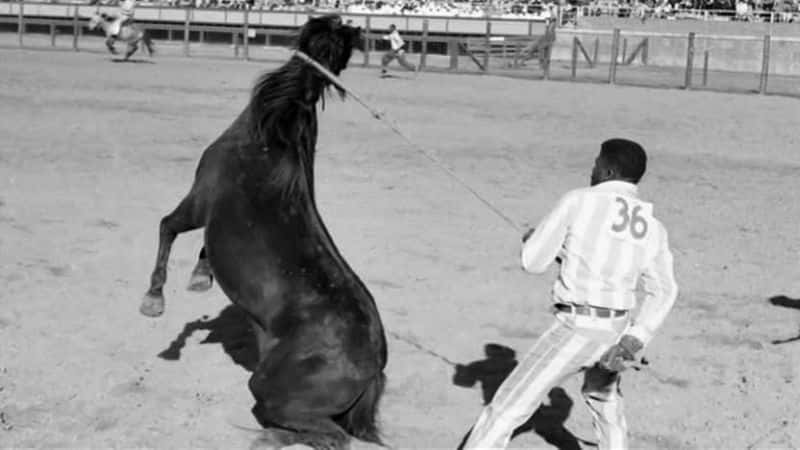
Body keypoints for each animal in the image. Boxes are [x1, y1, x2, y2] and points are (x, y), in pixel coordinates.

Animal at [138, 14, 388, 450]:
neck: (267, 144)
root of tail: (372, 365)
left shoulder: (198, 204)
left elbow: (166, 227)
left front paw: (155, 301)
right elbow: (202, 252)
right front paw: (200, 278)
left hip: (268, 387)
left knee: (329, 435)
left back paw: (269, 438)